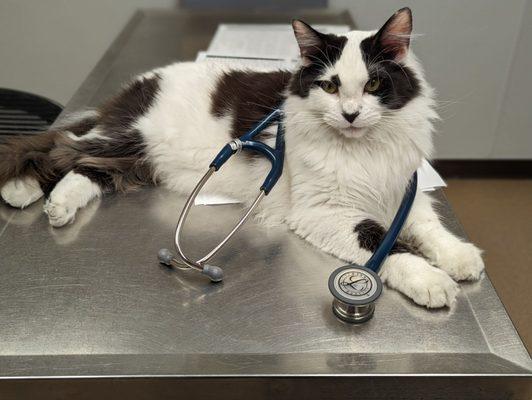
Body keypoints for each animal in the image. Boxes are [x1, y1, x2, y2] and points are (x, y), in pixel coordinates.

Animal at [0, 8, 484, 310]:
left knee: (85, 171)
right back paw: (20, 189)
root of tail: (139, 83)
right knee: (51, 148)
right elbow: (385, 244)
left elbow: (429, 229)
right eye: (330, 87)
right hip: (121, 137)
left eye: (374, 85)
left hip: (135, 158)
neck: (363, 148)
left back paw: (58, 206)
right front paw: (431, 280)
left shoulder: (402, 190)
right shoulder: (323, 212)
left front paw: (459, 258)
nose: (350, 114)